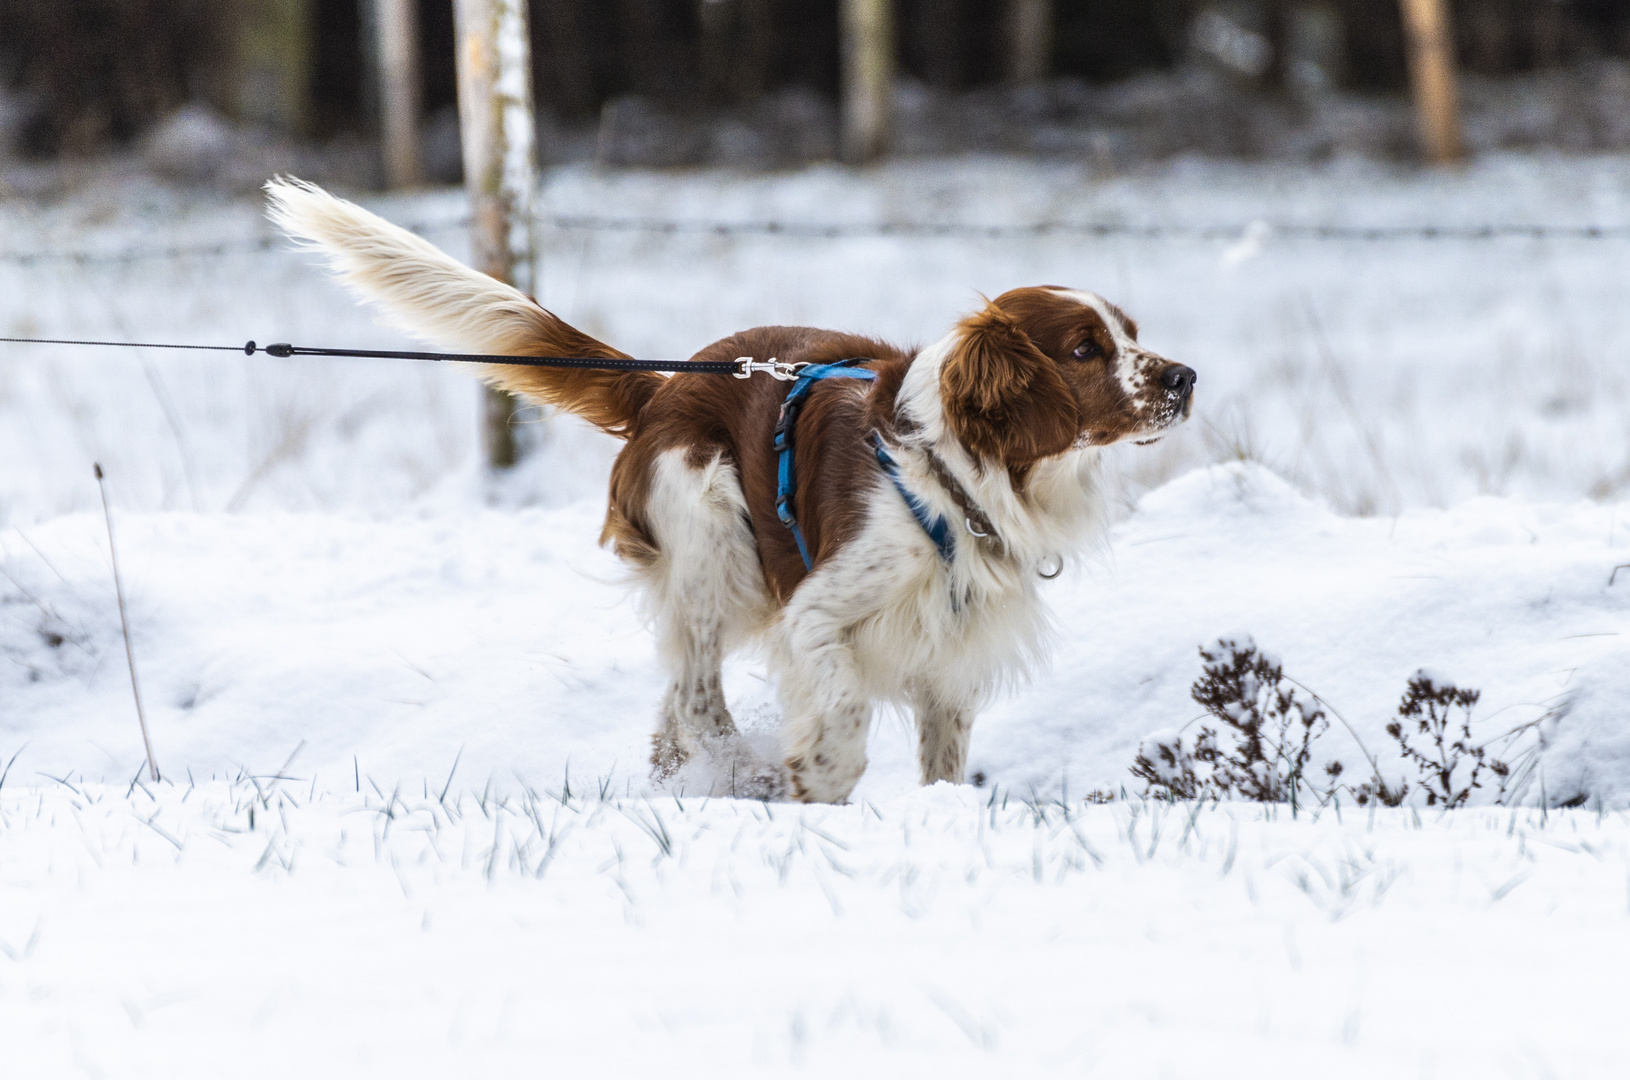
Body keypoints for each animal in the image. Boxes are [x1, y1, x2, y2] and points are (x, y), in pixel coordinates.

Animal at [267, 179, 1199, 801]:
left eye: (1132, 336)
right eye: (1083, 349)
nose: (1185, 378)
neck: (955, 473)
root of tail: (664, 385)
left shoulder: (952, 649)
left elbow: (943, 759)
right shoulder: (818, 612)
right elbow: (844, 707)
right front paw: (819, 774)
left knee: (674, 713)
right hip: (715, 539)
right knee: (698, 698)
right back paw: (743, 774)